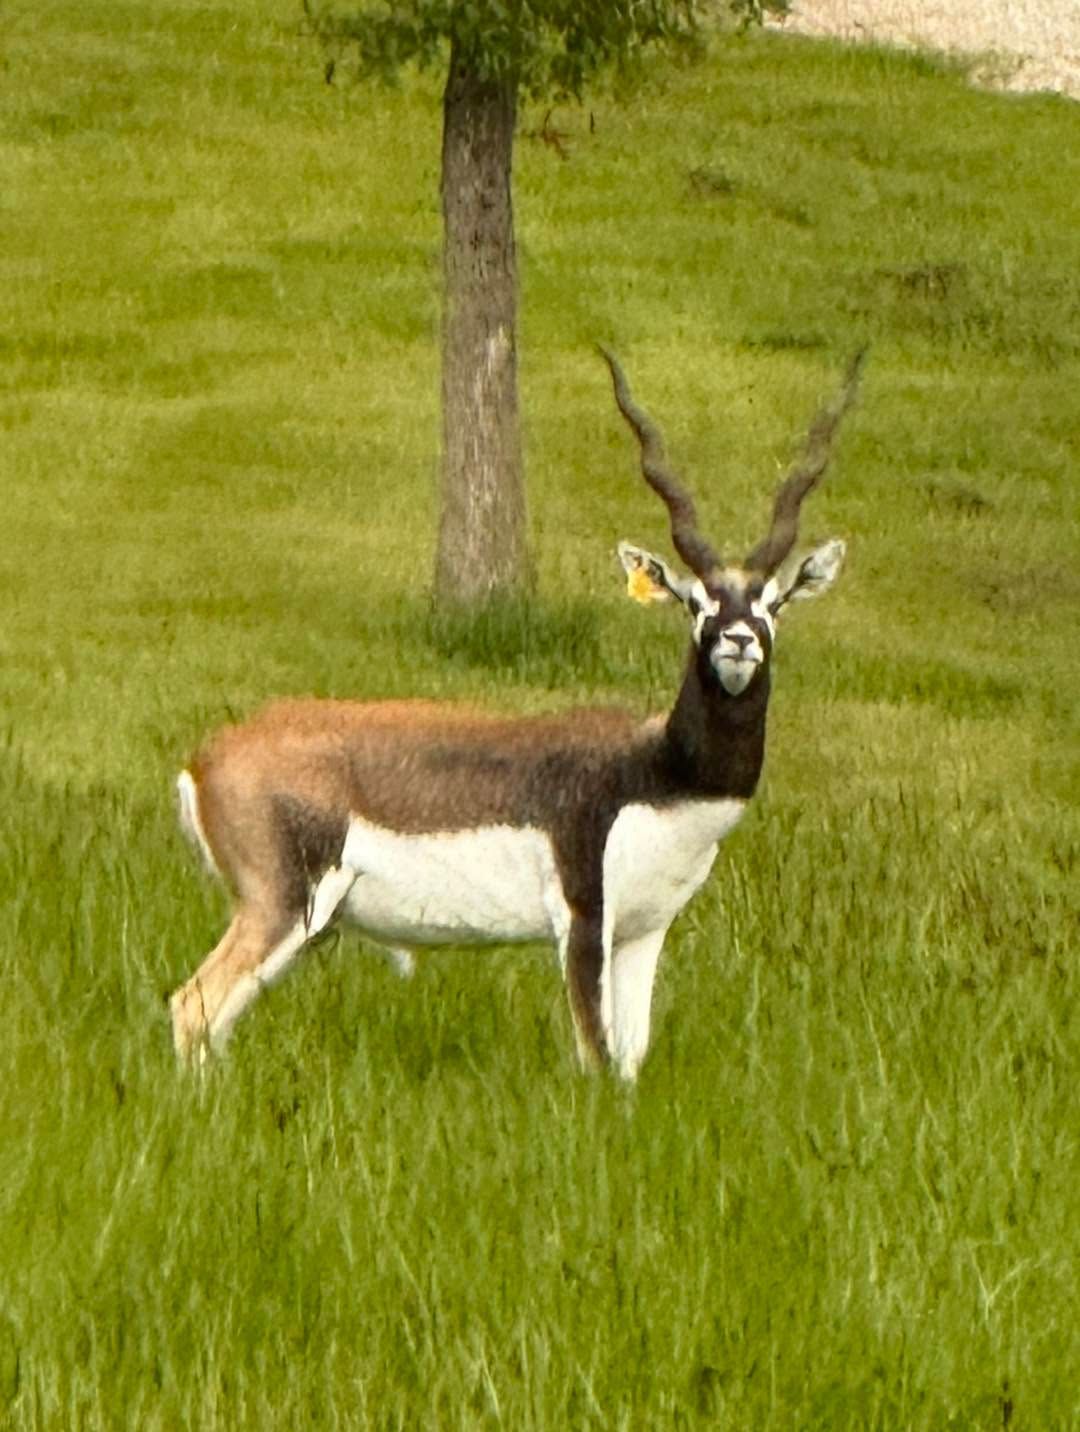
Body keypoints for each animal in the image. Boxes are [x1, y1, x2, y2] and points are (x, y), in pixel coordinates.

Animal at [170, 348, 865, 1079]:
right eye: (696, 601)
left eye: (773, 602)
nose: (738, 640)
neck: (659, 771)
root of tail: (210, 756)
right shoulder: (583, 920)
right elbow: (595, 1057)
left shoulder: (645, 931)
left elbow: (630, 1061)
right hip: (282, 908)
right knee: (192, 1006)